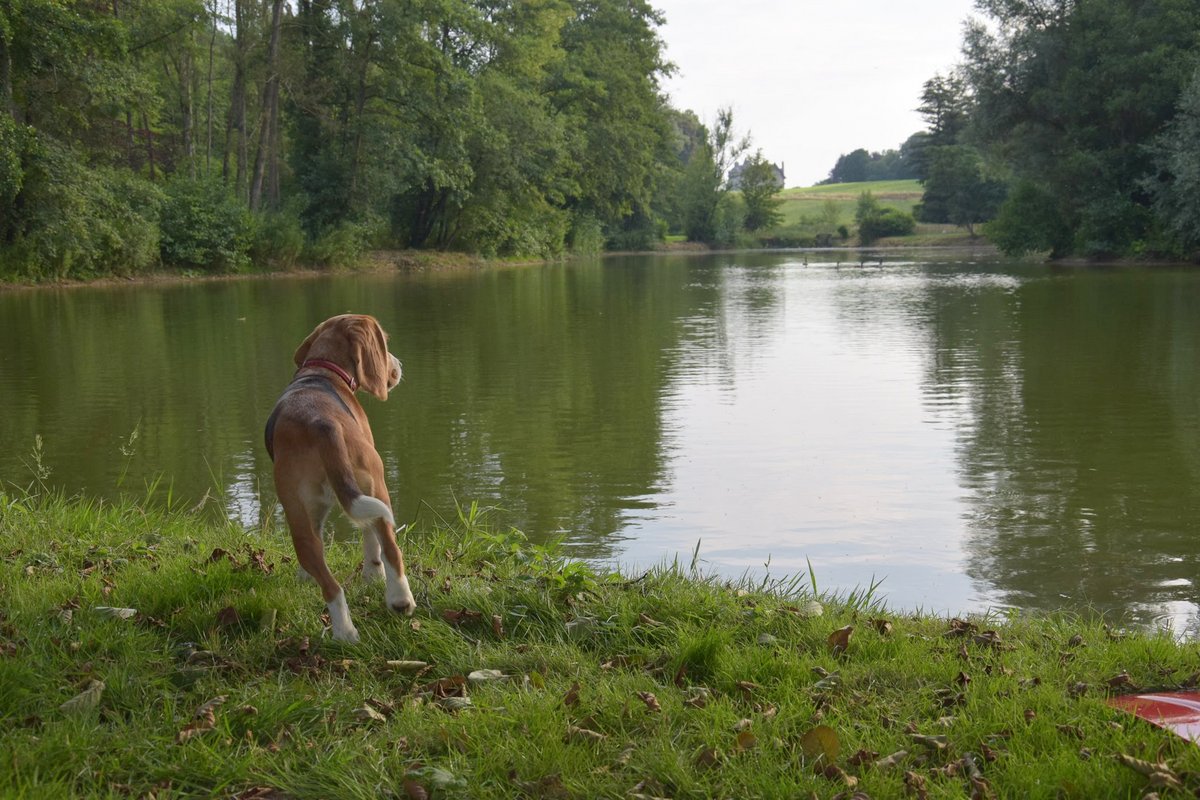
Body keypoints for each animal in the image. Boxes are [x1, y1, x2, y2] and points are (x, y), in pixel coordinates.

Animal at [265, 316, 415, 642]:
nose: (399, 364)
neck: (321, 370)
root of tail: (323, 423)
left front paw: (303, 577)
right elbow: (372, 541)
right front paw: (372, 575)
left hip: (298, 516)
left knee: (329, 582)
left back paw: (345, 632)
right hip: (379, 489)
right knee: (391, 550)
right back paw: (399, 601)